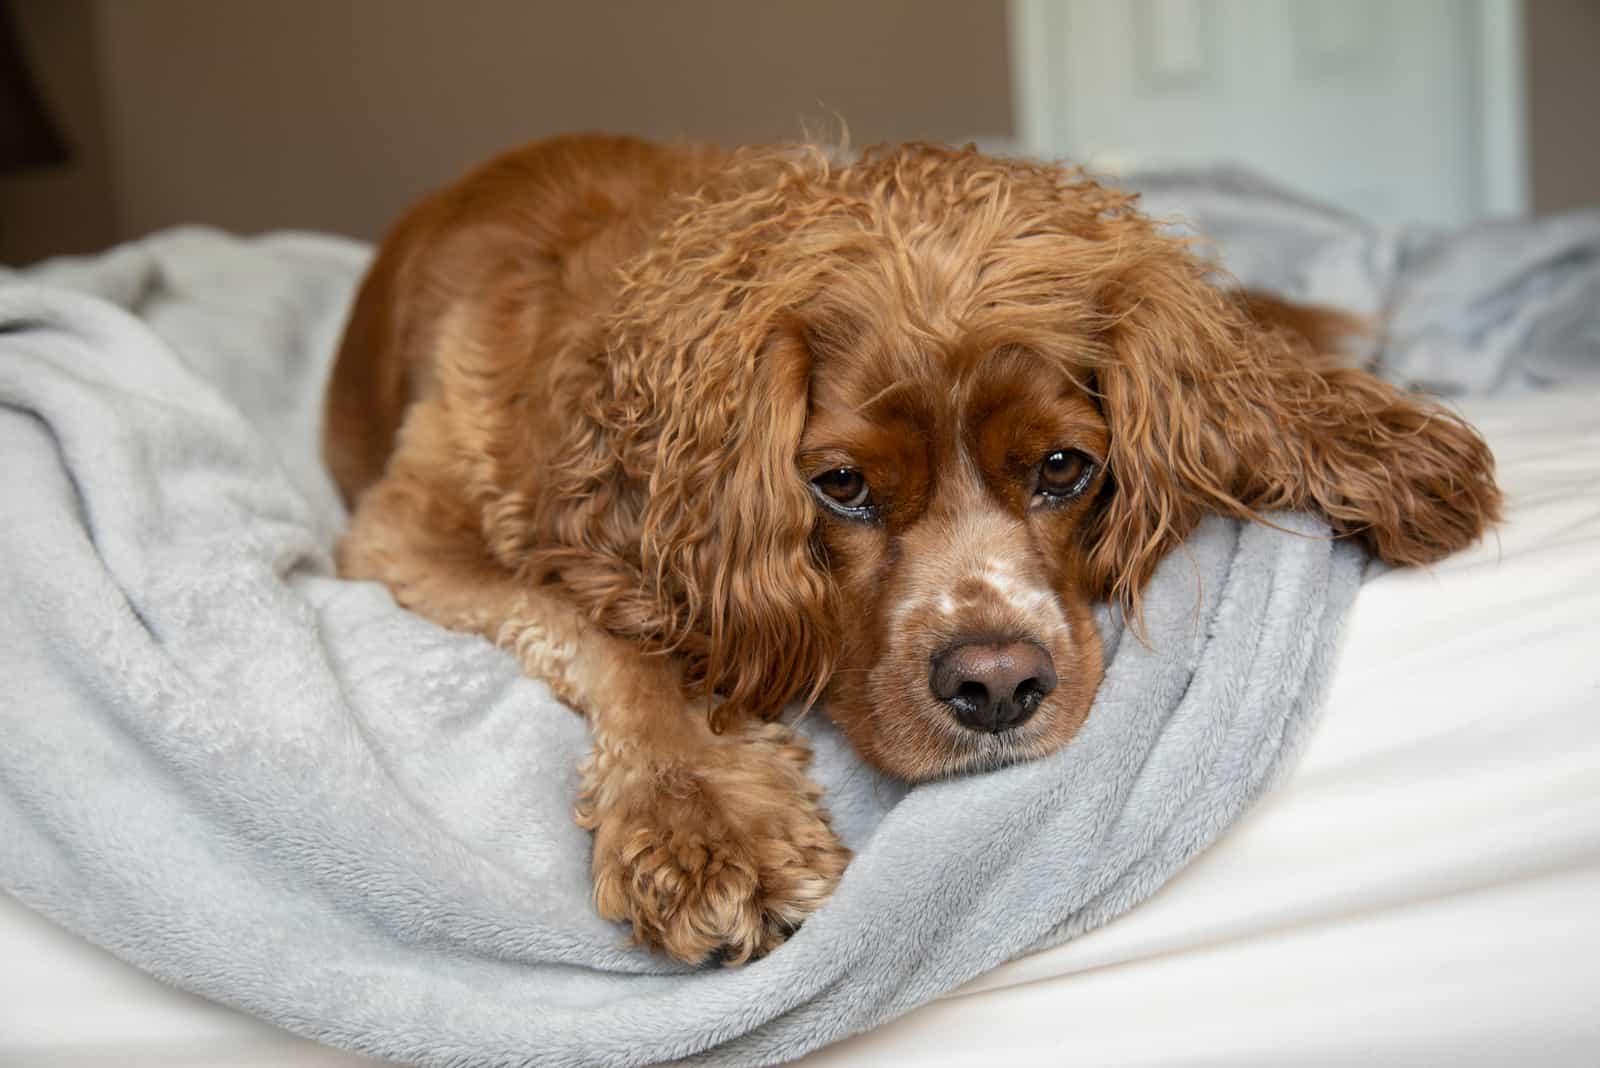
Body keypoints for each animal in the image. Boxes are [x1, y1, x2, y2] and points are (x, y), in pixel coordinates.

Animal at [324, 135, 1497, 965]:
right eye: (840, 487)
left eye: (1064, 467)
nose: (997, 686)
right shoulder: (404, 533)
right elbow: (602, 630)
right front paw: (700, 815)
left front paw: (1367, 435)